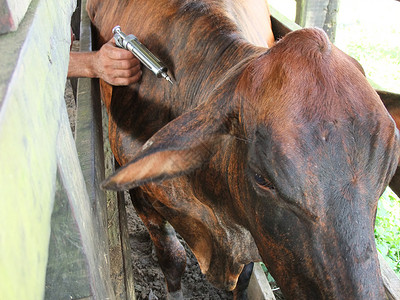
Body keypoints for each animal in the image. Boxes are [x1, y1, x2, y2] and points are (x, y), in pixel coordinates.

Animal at [86, 0, 400, 300]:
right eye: (262, 179)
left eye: (387, 174)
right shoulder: (142, 197)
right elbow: (173, 259)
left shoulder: (251, 226)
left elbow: (245, 276)